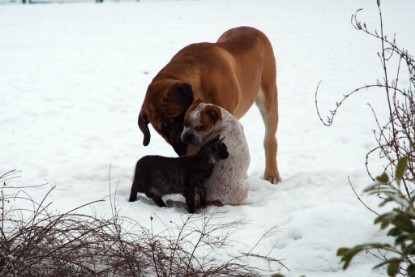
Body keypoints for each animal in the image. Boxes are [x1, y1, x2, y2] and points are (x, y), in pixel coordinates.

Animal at [138, 25, 282, 182]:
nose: (181, 145)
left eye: (178, 118)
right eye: (162, 130)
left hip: (268, 98)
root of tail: (251, 28)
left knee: (270, 139)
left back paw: (271, 173)